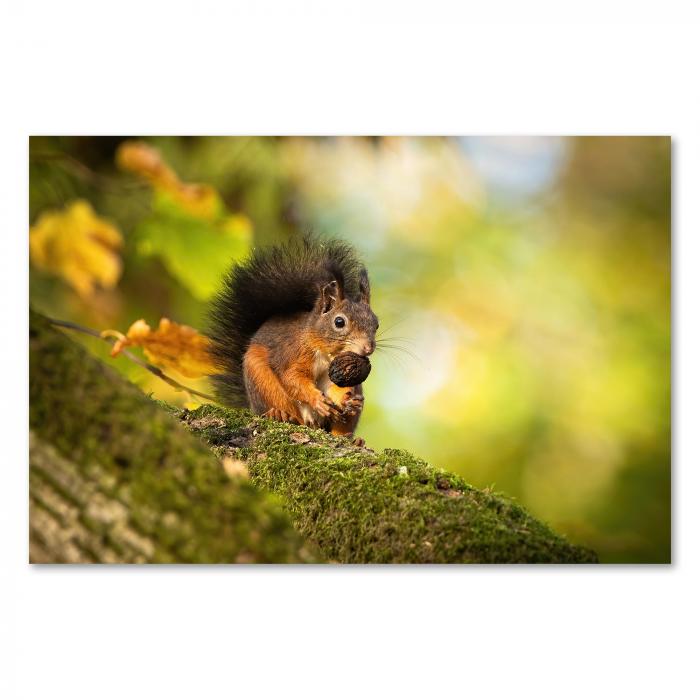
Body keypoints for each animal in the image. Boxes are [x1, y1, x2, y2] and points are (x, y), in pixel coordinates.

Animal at [209, 235, 378, 438]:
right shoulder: (293, 353)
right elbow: (292, 377)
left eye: (376, 323)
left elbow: (339, 387)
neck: (325, 352)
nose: (368, 348)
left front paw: (346, 401)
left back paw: (353, 435)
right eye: (339, 322)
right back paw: (279, 414)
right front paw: (317, 399)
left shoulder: (340, 372)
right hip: (263, 382)